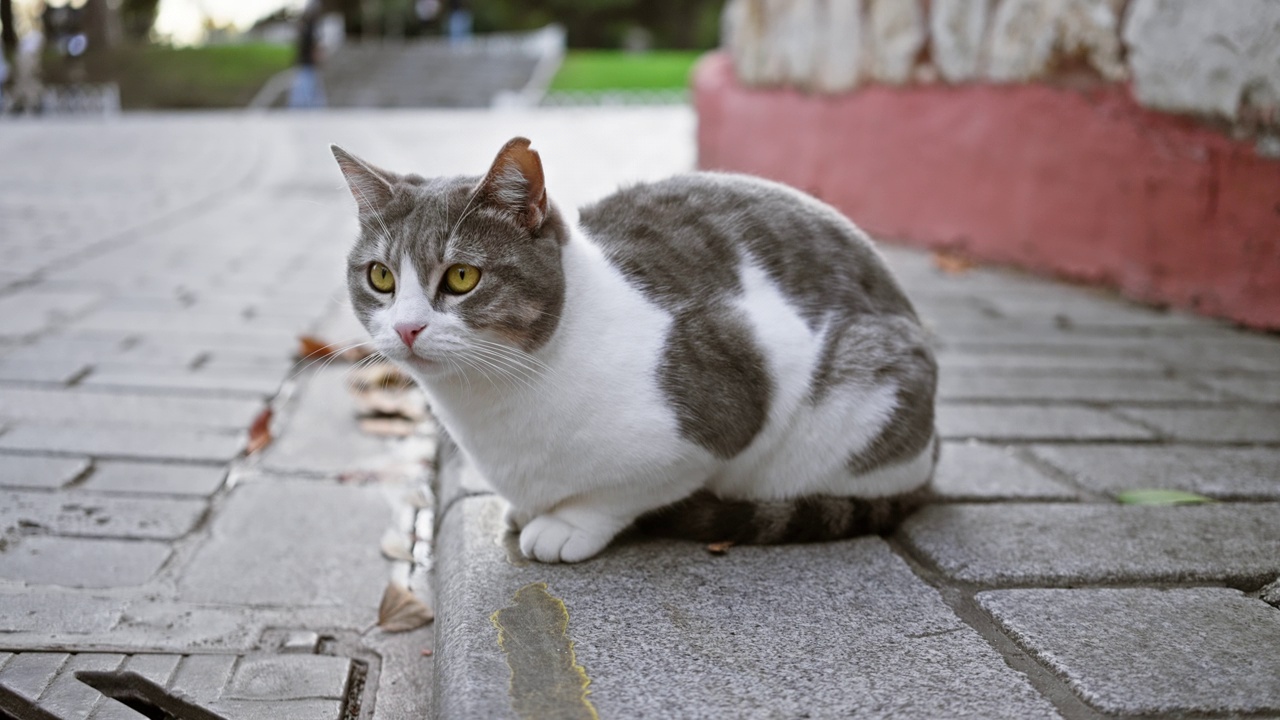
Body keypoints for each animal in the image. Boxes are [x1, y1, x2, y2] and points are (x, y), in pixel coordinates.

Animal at [337, 134, 942, 561]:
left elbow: (622, 492)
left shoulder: (722, 414)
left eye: (462, 277)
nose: (407, 328)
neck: (493, 403)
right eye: (381, 277)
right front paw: (525, 510)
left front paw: (565, 523)